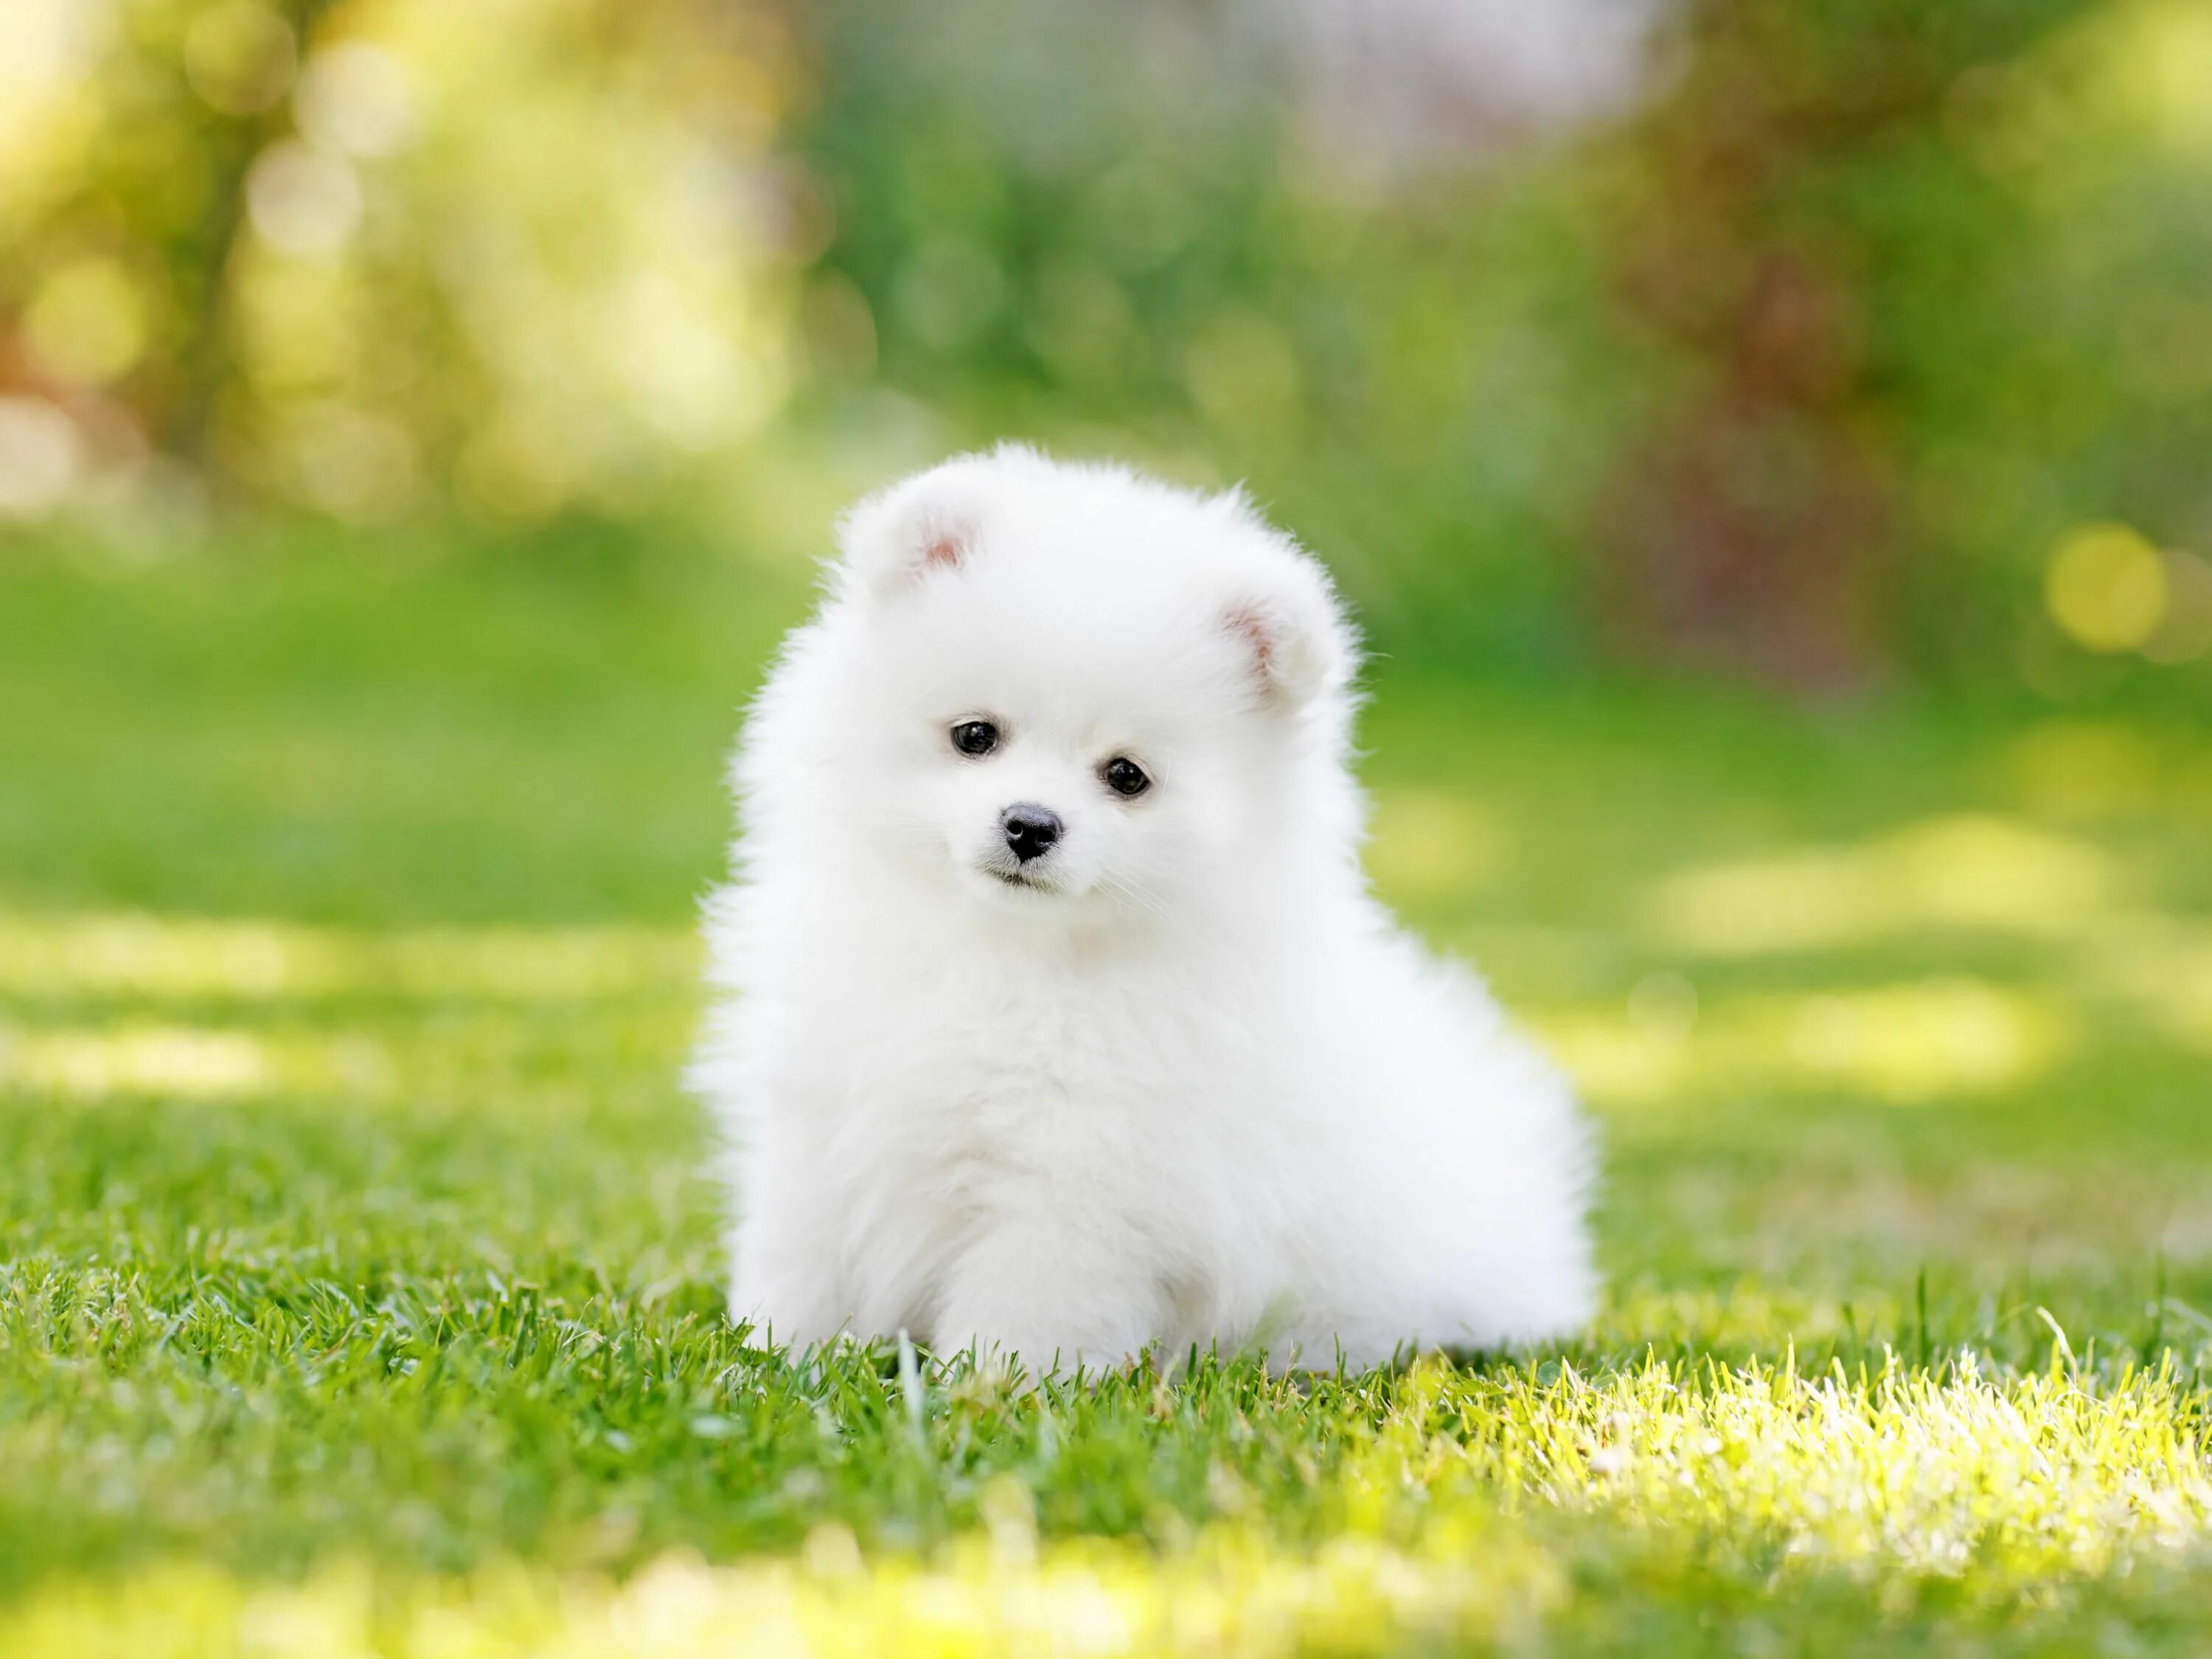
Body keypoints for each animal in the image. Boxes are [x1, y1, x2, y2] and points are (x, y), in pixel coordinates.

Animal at [690, 445, 1593, 1380]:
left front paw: (992, 1385)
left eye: (1126, 776)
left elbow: (1028, 1301)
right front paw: (779, 1352)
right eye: (975, 735)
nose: (1030, 825)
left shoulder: (1082, 1184)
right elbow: (802, 1254)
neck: (1006, 957)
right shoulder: (820, 1124)